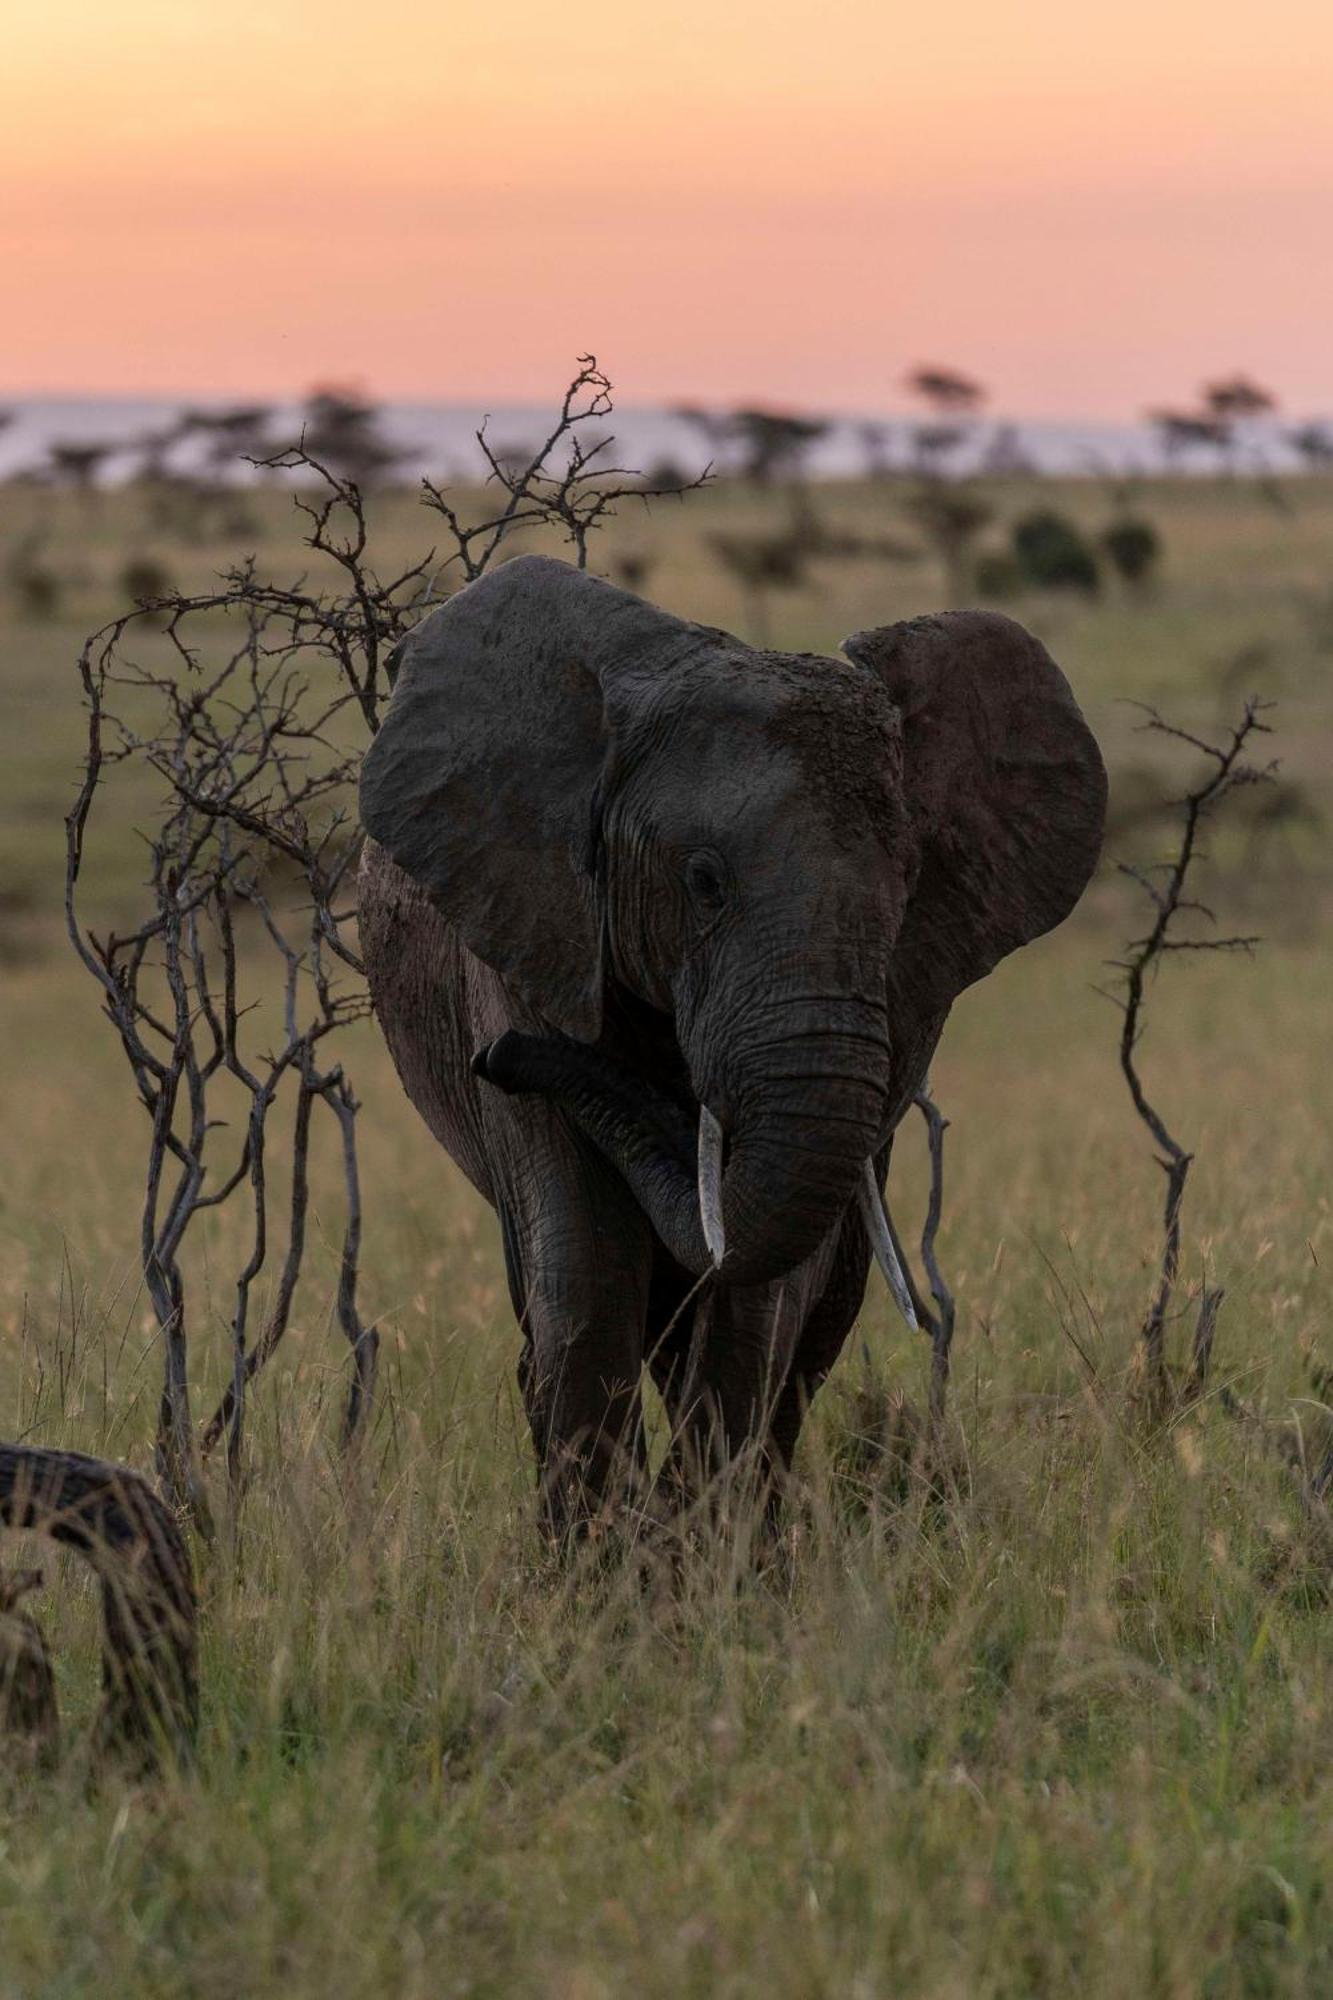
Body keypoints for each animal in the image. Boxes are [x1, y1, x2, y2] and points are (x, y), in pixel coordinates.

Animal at [352, 556, 1096, 1536]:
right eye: (702, 883)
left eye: (905, 890)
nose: (499, 1059)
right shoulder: (528, 929)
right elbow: (583, 1261)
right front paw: (598, 1562)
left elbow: (758, 1291)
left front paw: (696, 1551)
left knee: (815, 1316)